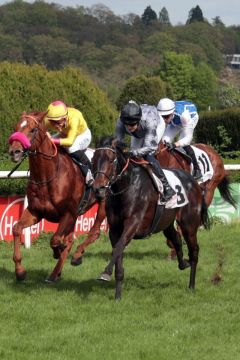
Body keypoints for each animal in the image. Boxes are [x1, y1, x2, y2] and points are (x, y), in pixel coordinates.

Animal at [8, 111, 106, 282]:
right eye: (16, 128)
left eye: (33, 130)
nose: (15, 152)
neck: (47, 176)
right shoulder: (36, 212)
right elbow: (16, 229)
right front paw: (20, 271)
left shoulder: (68, 213)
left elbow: (54, 239)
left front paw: (57, 251)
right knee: (70, 239)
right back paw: (55, 273)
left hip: (103, 202)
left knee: (94, 231)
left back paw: (75, 258)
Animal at [92, 136, 210, 300]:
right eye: (94, 159)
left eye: (110, 159)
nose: (98, 189)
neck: (127, 186)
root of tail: (194, 181)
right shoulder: (114, 229)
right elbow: (118, 252)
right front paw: (117, 296)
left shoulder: (133, 224)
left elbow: (118, 247)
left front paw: (105, 272)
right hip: (166, 222)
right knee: (176, 239)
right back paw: (183, 264)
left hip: (189, 225)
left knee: (194, 252)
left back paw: (191, 285)